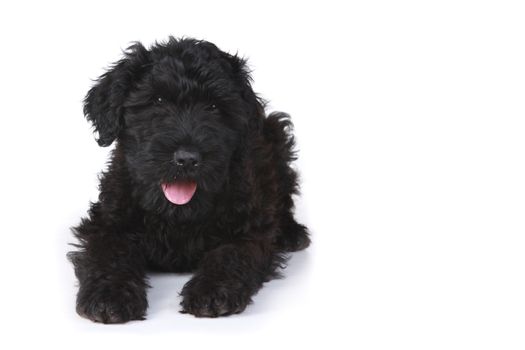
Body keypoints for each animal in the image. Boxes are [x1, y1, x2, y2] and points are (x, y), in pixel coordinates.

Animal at [68, 37, 310, 324]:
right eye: (157, 100)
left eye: (214, 107)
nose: (187, 159)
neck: (178, 214)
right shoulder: (107, 222)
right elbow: (109, 254)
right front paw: (109, 296)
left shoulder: (249, 229)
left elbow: (230, 255)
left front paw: (212, 291)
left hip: (277, 137)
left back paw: (292, 233)